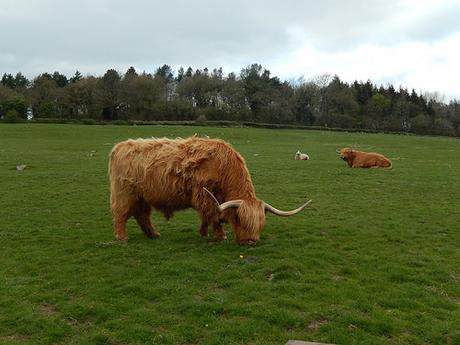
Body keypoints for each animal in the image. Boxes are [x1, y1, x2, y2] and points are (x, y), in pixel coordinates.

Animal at [108, 136, 310, 245]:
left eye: (261, 223)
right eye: (239, 219)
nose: (250, 242)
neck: (225, 168)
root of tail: (120, 146)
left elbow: (210, 216)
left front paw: (204, 232)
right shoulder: (204, 195)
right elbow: (213, 214)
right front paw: (220, 236)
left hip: (142, 197)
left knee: (142, 215)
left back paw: (154, 235)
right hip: (124, 194)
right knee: (121, 215)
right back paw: (122, 237)